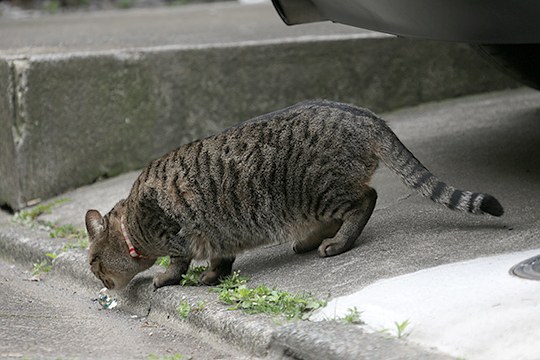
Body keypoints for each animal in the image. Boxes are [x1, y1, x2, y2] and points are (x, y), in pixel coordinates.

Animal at [84, 100, 502, 292]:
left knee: (365, 199)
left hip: (319, 190)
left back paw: (337, 242)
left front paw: (168, 277)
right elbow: (220, 259)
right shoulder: (217, 234)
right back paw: (311, 238)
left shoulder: (179, 234)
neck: (132, 224)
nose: (98, 280)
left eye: (92, 262)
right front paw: (213, 275)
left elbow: (178, 262)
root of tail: (366, 115)